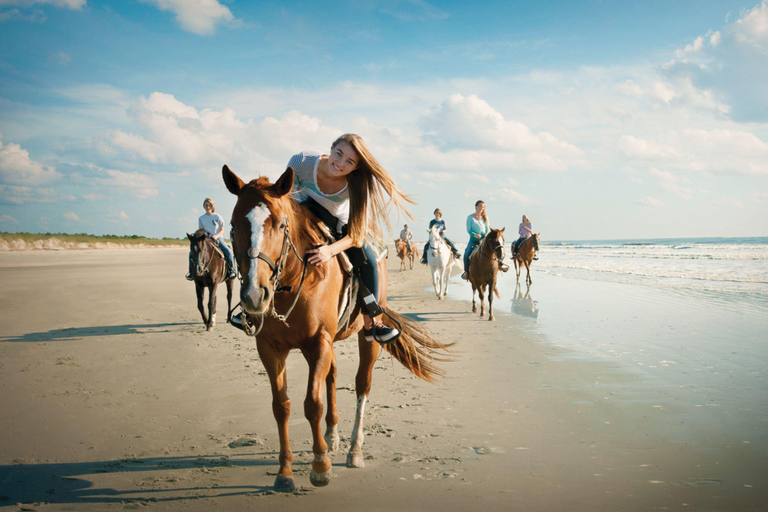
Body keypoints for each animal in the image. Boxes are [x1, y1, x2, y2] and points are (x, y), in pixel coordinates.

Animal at [222, 164, 450, 492]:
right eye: (232, 224)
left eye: (281, 225)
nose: (254, 294)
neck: (292, 281)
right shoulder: (271, 349)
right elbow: (282, 406)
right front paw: (285, 472)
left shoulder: (319, 342)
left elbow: (312, 404)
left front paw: (320, 466)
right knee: (332, 376)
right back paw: (331, 436)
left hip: (367, 337)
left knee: (362, 384)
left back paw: (355, 449)